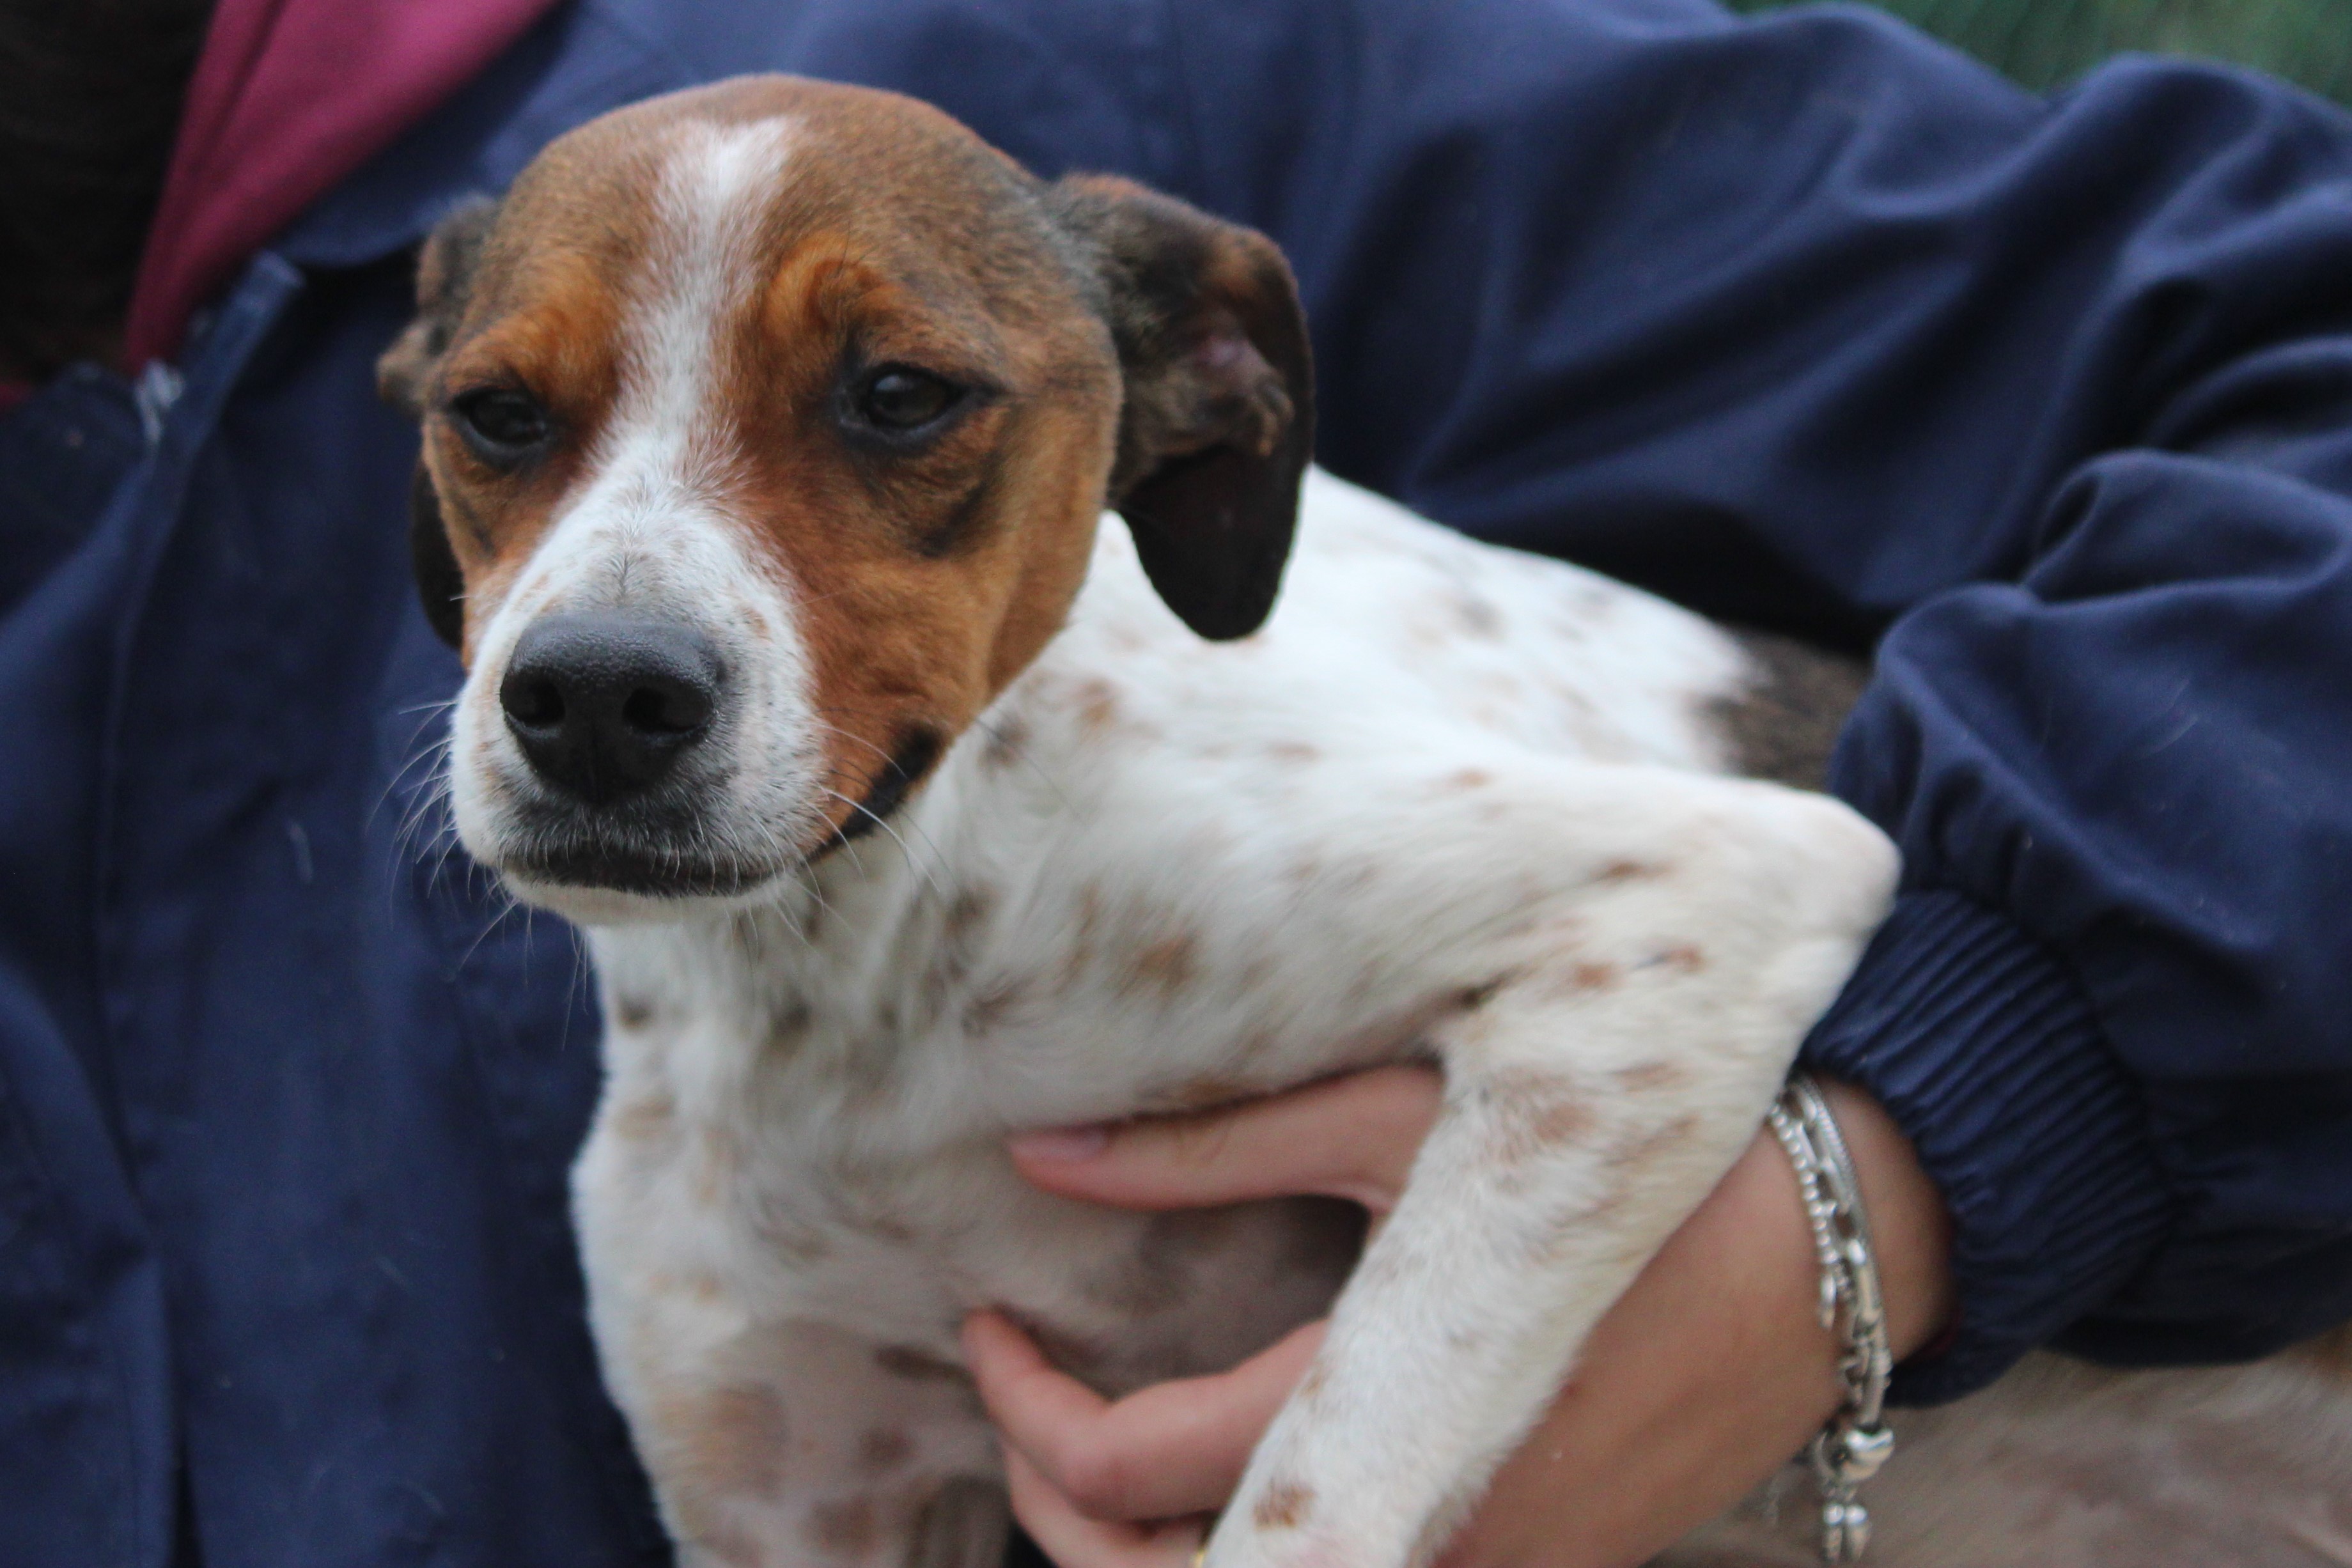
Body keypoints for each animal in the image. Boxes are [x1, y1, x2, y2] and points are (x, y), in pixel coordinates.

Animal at [376, 73, 2342, 1568]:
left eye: (898, 394)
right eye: (496, 413)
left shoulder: (1695, 907)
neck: (851, 984)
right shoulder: (801, 1478)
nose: (595, 701)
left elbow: (1307, 1492)